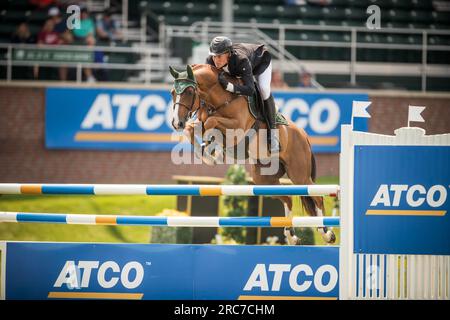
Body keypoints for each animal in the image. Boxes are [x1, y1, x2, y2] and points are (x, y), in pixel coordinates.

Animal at [169, 64, 334, 245]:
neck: (220, 99)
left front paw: (211, 149)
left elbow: (211, 122)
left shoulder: (237, 127)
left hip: (299, 175)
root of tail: (304, 135)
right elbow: (193, 128)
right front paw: (209, 154)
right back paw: (291, 236)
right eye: (172, 92)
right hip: (263, 178)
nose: (176, 123)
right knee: (288, 198)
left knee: (317, 196)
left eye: (189, 92)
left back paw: (327, 233)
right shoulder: (202, 121)